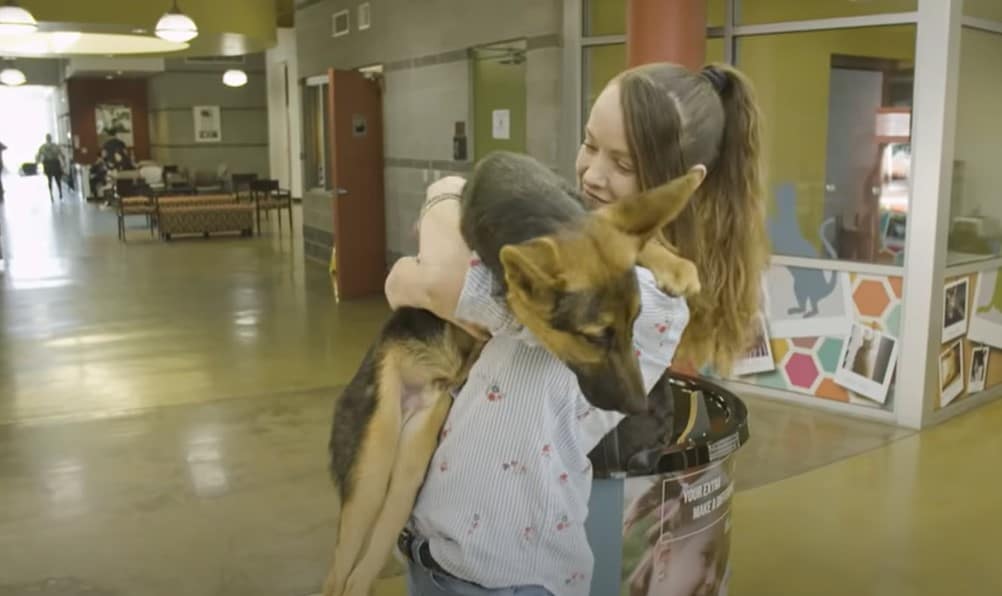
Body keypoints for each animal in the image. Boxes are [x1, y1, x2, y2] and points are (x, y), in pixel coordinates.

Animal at [324, 151, 701, 592]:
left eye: (636, 322)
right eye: (594, 337)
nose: (640, 404)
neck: (532, 200)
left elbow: (636, 236)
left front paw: (674, 263)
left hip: (410, 467)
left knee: (363, 565)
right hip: (371, 465)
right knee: (339, 574)